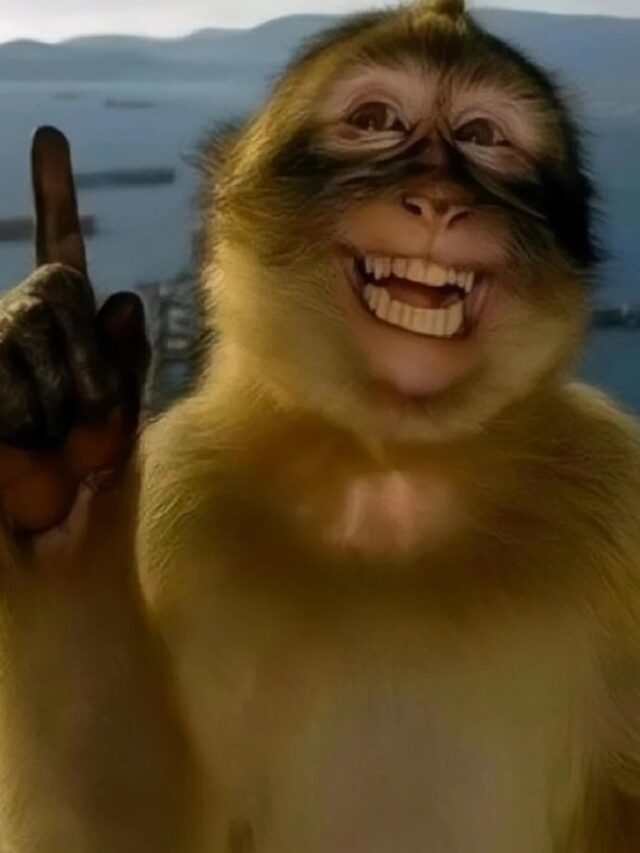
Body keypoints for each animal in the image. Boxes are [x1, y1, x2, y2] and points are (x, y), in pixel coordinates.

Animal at [1, 0, 640, 849]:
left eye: (481, 137)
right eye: (375, 121)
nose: (439, 200)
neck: (390, 469)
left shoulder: (618, 493)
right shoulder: (185, 483)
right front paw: (63, 478)